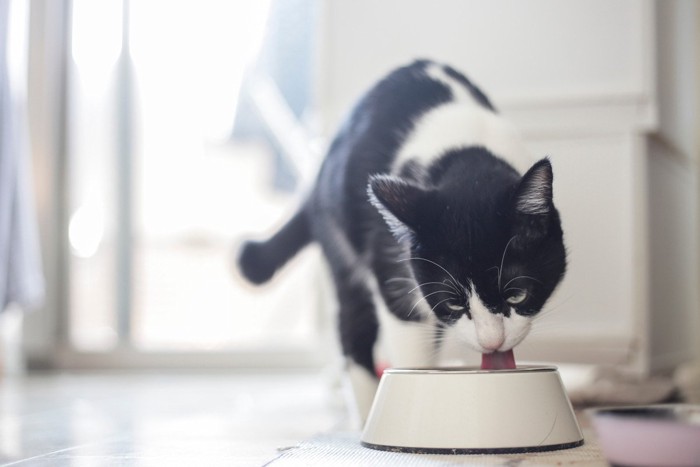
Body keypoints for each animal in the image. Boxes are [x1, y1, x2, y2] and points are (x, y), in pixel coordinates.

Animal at [238, 60, 568, 422]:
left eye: (517, 294)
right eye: (454, 303)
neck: (465, 157)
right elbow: (408, 337)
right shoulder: (390, 259)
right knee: (354, 322)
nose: (492, 342)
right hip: (339, 237)